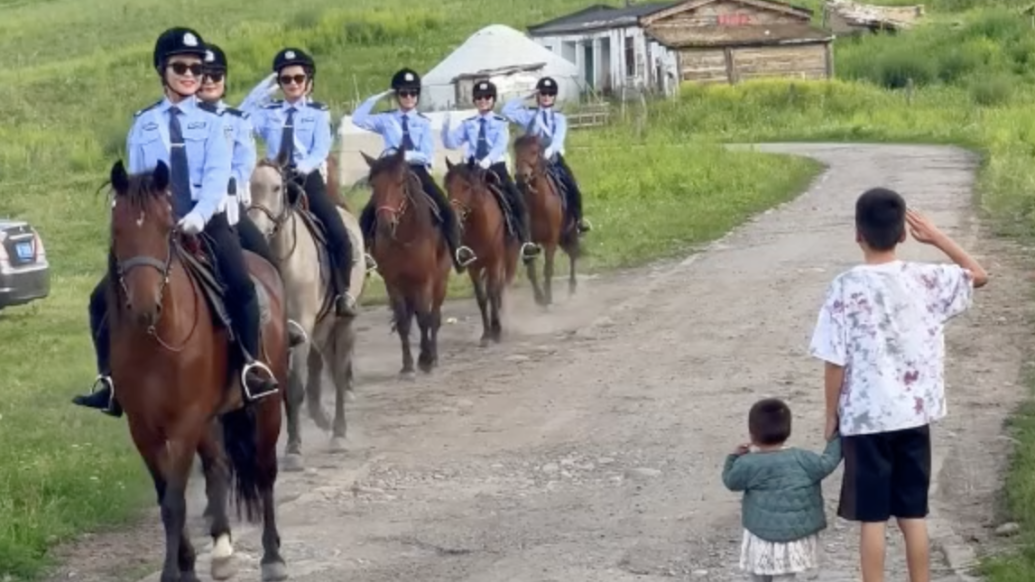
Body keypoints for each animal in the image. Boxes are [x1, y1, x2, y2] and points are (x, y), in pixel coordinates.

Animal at [105, 159, 289, 579]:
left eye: (166, 228)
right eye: (118, 230)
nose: (144, 307)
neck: (155, 339)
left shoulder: (184, 424)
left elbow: (175, 501)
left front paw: (173, 571)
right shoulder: (142, 428)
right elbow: (164, 498)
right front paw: (186, 564)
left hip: (267, 405)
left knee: (265, 470)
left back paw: (272, 555)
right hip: (209, 418)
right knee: (219, 466)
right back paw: (221, 548)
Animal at [247, 155, 368, 472]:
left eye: (277, 187)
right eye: (248, 188)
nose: (257, 227)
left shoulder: (301, 324)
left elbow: (295, 387)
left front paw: (294, 451)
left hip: (342, 323)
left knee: (338, 374)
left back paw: (339, 434)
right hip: (321, 328)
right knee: (321, 366)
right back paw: (323, 418)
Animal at [360, 147, 449, 379]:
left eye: (400, 183)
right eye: (374, 184)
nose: (385, 225)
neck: (404, 236)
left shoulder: (425, 280)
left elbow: (425, 319)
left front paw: (426, 360)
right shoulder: (393, 282)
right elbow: (402, 321)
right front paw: (408, 365)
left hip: (440, 281)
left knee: (434, 316)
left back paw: (434, 356)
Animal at [440, 156, 517, 343]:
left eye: (466, 186)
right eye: (447, 186)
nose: (454, 216)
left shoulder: (494, 262)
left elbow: (493, 292)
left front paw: (497, 330)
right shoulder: (473, 266)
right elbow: (482, 297)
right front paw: (487, 333)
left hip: (509, 261)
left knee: (504, 288)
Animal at [511, 134, 579, 306]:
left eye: (534, 152)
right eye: (516, 152)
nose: (521, 177)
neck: (538, 205)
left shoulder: (551, 240)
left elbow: (548, 269)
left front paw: (548, 297)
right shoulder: (529, 242)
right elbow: (531, 271)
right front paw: (539, 298)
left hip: (569, 233)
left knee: (573, 254)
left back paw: (572, 287)